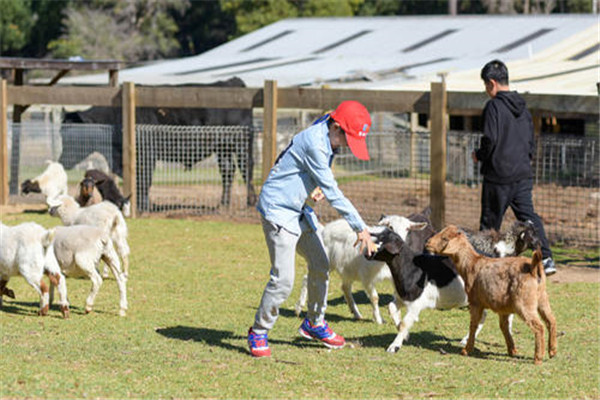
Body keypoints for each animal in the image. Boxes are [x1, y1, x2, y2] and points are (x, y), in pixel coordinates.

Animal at [294, 214, 422, 324]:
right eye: (390, 226)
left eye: (407, 229)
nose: (400, 242)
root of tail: (324, 230)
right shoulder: (367, 277)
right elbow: (375, 297)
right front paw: (379, 319)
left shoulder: (394, 277)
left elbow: (398, 296)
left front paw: (397, 318)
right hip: (325, 261)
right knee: (307, 278)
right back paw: (299, 308)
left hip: (347, 268)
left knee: (345, 287)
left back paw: (356, 313)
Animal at [424, 223, 556, 364]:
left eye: (444, 238)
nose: (428, 243)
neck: (471, 264)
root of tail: (534, 267)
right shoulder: (503, 308)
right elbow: (504, 326)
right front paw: (512, 350)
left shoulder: (475, 302)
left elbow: (473, 325)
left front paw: (466, 350)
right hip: (542, 298)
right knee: (551, 320)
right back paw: (552, 351)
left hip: (524, 302)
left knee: (539, 327)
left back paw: (538, 357)